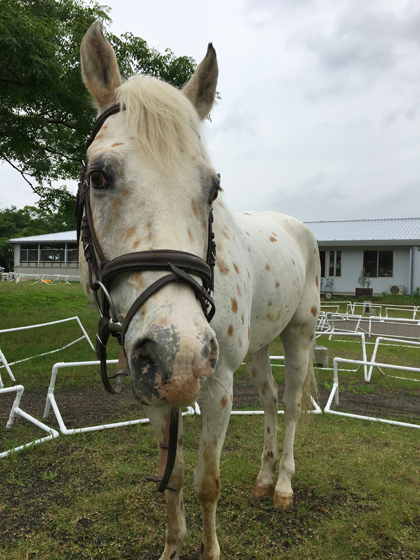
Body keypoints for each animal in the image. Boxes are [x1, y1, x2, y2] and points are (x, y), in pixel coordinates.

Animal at [80, 20, 320, 560]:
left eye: (213, 188)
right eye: (98, 176)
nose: (181, 353)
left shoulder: (217, 386)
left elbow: (207, 483)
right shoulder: (154, 390)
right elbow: (172, 478)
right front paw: (173, 546)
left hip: (298, 335)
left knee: (292, 403)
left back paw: (283, 485)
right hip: (257, 348)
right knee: (270, 400)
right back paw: (263, 478)